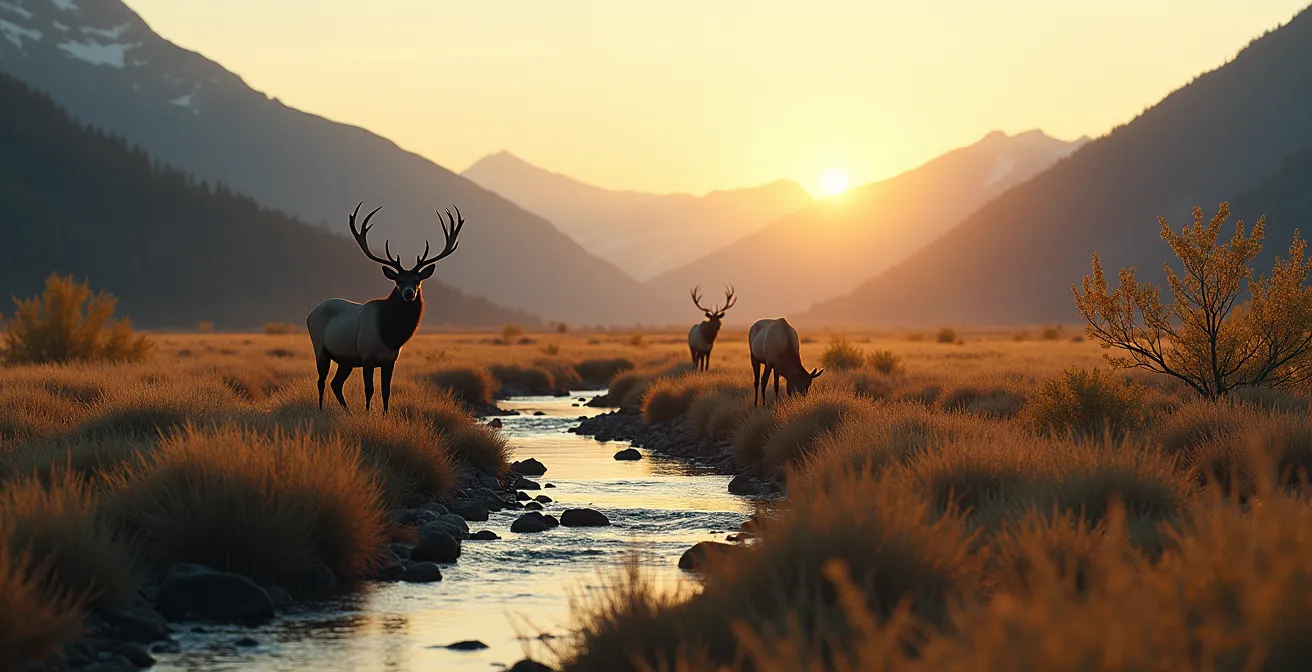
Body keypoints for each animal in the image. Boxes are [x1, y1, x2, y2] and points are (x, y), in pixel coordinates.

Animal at [306, 202, 465, 412]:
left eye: (417, 281)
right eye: (398, 281)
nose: (408, 293)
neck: (390, 336)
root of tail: (310, 314)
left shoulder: (390, 359)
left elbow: (386, 391)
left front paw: (384, 414)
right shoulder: (367, 354)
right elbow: (369, 389)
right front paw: (367, 414)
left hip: (346, 360)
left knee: (336, 383)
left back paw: (347, 411)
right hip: (320, 348)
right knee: (321, 381)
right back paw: (320, 409)